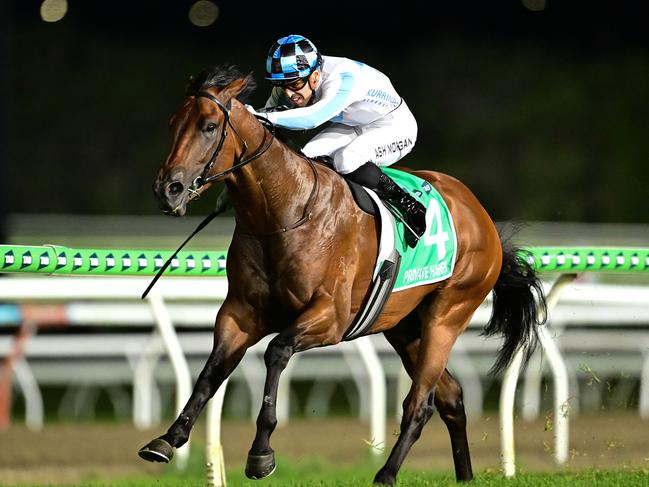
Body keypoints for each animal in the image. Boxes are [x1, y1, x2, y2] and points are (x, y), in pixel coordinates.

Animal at [139, 63, 544, 484]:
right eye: (173, 123)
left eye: (208, 125)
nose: (168, 189)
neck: (283, 212)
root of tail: (480, 214)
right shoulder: (240, 313)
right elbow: (211, 372)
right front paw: (168, 438)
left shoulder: (329, 318)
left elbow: (276, 351)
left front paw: (261, 452)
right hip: (404, 327)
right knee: (450, 397)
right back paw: (463, 475)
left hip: (447, 315)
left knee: (420, 403)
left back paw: (386, 473)